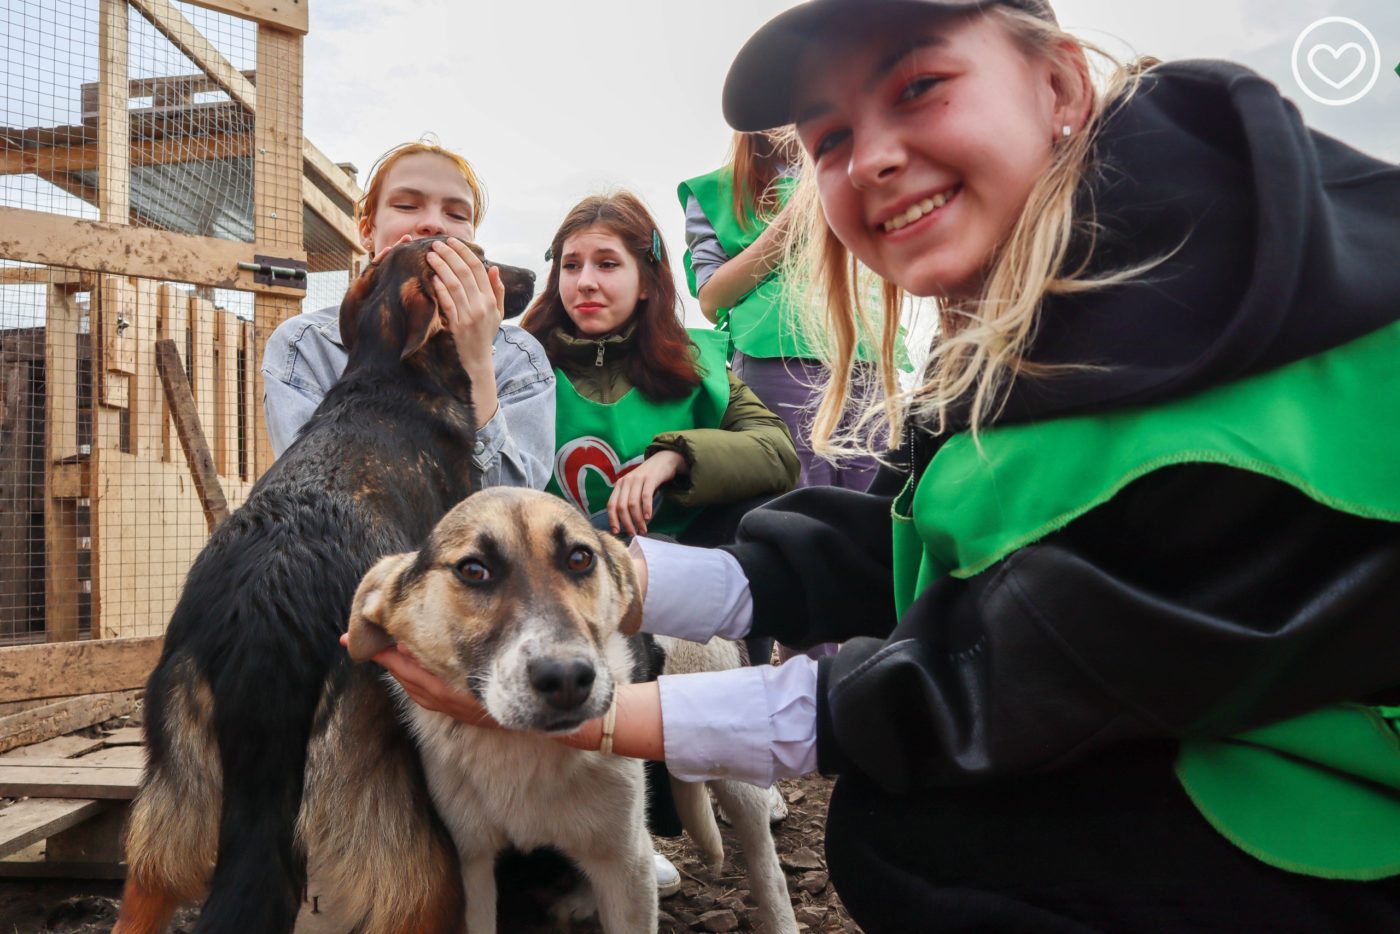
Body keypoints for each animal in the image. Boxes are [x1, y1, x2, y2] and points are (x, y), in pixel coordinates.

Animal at [110, 239, 529, 934]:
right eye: (480, 257)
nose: (533, 271)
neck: (389, 376)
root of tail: (264, 616)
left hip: (173, 790)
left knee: (149, 883)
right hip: (392, 794)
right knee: (419, 897)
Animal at [345, 490, 800, 934]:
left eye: (580, 559)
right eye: (473, 570)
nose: (567, 678)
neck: (524, 753)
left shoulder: (626, 865)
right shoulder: (473, 863)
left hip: (732, 772)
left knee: (768, 870)